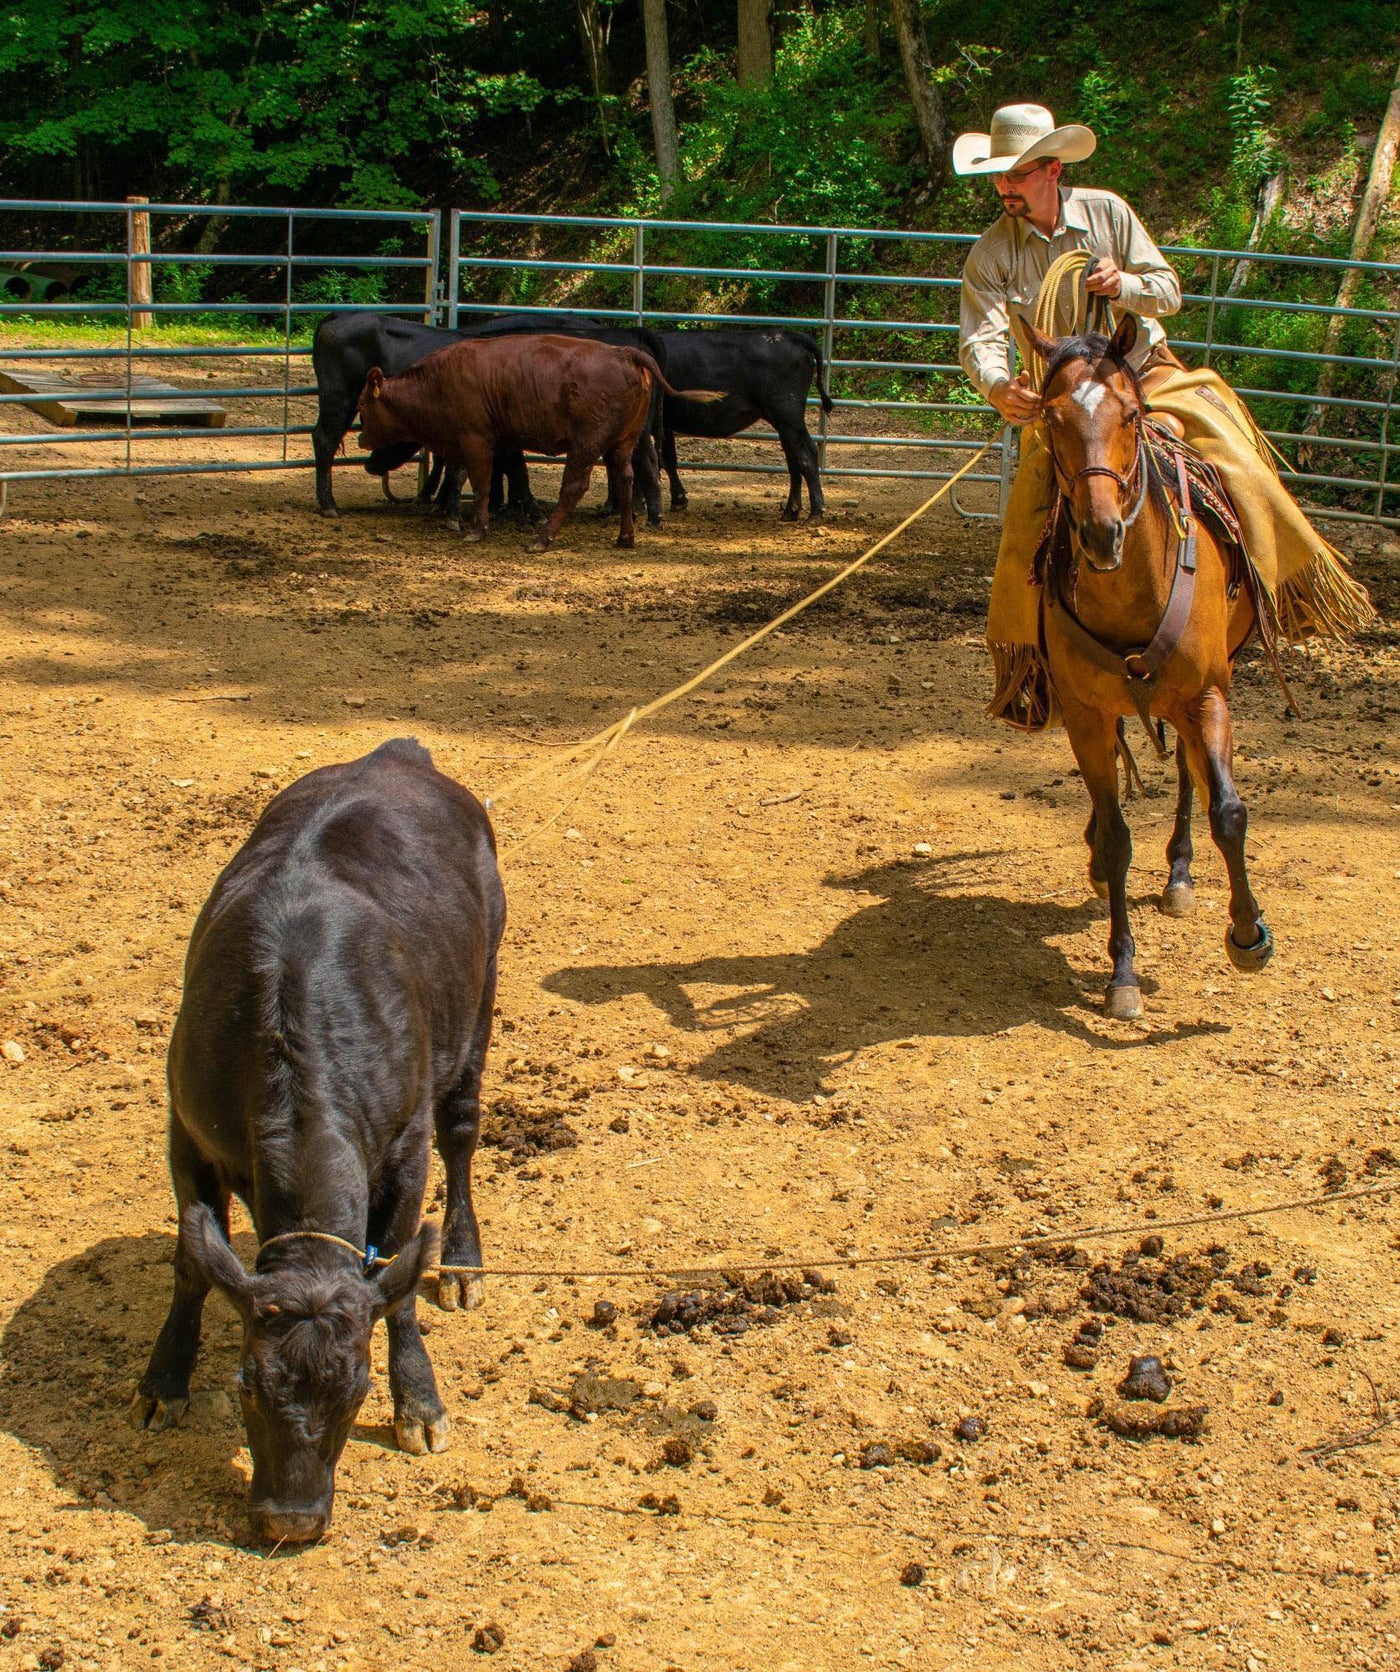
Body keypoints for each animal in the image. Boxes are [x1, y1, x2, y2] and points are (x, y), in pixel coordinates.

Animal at [129, 739, 501, 1544]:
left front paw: (419, 1401)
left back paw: (461, 1260)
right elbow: (193, 1262)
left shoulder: (404, 1151)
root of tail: (397, 753)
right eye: (245, 1384)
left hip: (479, 1004)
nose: (290, 1521)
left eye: (356, 1389)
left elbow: (394, 1280)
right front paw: (163, 1379)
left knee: (463, 1136)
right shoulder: (186, 1133)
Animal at [354, 332, 715, 548]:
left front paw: (477, 529)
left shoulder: (475, 440)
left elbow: (481, 483)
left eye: (362, 405)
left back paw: (543, 538)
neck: (437, 381)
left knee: (574, 486)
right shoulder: (489, 442)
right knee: (625, 480)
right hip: (622, 442)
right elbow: (480, 477)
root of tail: (627, 354)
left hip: (586, 444)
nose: (360, 440)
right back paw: (625, 537)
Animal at [655, 329, 829, 518]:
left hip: (788, 415)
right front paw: (677, 500)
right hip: (784, 422)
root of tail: (790, 334)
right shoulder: (665, 424)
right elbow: (668, 459)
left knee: (806, 454)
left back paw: (816, 512)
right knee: (793, 458)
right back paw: (790, 511)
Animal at [1023, 312, 1271, 1016]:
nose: (1101, 533)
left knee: (1189, 773)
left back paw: (1180, 873)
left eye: (1130, 415)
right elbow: (1114, 835)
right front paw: (1123, 973)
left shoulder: (1207, 695)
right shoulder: (1084, 712)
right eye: (1051, 416)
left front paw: (1249, 935)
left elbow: (1228, 813)